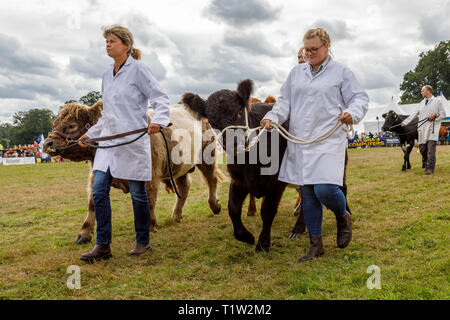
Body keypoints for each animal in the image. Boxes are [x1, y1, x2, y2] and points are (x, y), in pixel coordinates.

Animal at [43, 101, 223, 244]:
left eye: (72, 125)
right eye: (55, 122)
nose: (47, 143)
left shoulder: (150, 176)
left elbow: (149, 200)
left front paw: (150, 225)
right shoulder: (96, 175)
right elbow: (92, 204)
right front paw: (84, 234)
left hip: (208, 155)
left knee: (211, 179)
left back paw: (214, 205)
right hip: (180, 167)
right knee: (184, 188)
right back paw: (176, 216)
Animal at [182, 79, 352, 252]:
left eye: (238, 112)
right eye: (212, 120)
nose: (233, 143)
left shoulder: (276, 181)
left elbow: (267, 211)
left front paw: (263, 243)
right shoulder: (238, 180)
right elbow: (233, 209)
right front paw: (246, 236)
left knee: (340, 189)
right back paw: (298, 229)